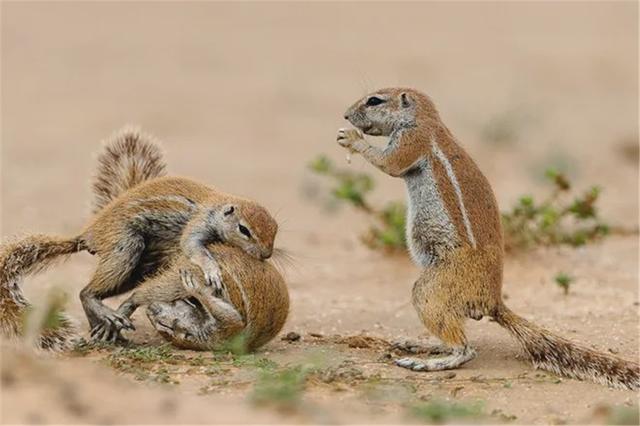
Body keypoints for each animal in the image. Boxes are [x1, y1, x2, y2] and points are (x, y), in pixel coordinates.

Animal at [338, 86, 636, 390]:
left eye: (374, 100)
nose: (346, 115)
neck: (425, 119)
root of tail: (492, 302)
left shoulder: (412, 141)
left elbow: (389, 164)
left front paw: (351, 139)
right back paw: (422, 344)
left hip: (432, 289)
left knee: (465, 349)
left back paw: (429, 362)